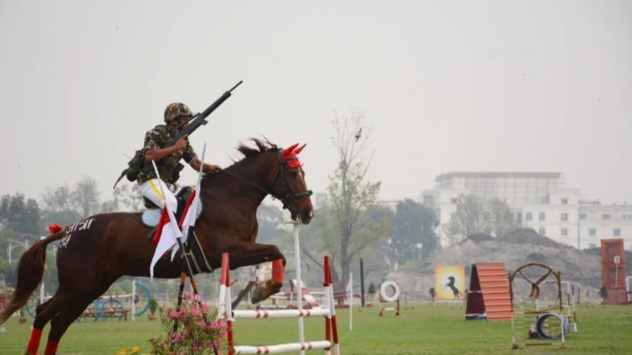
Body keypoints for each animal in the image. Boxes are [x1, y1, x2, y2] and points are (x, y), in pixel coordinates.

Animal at [0, 138, 314, 355]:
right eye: (293, 173)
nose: (308, 212)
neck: (232, 197)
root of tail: (67, 231)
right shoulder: (231, 252)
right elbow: (276, 251)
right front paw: (264, 291)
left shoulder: (239, 252)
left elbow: (275, 256)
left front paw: (263, 289)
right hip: (77, 285)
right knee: (44, 314)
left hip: (92, 287)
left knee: (58, 323)